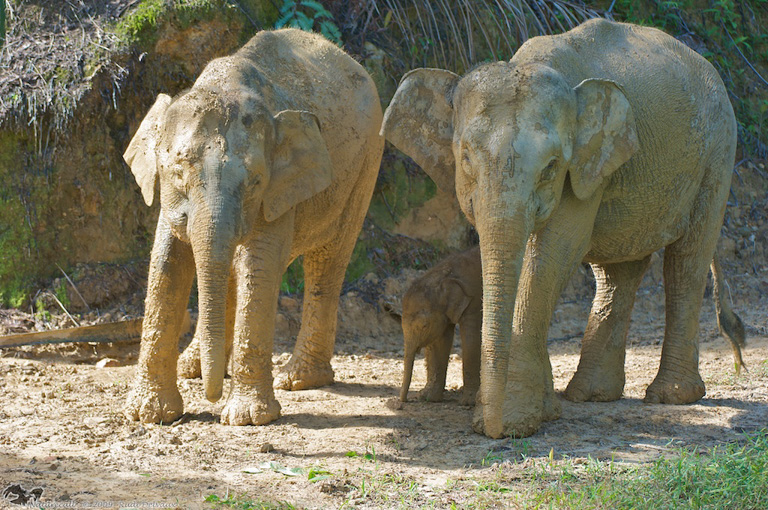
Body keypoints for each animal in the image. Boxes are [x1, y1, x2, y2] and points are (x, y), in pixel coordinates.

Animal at [123, 27, 384, 426]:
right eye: (177, 172)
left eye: (255, 182)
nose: (211, 401)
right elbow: (166, 261)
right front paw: (148, 414)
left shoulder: (278, 189)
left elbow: (258, 264)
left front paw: (246, 418)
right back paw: (192, 369)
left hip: (366, 164)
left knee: (328, 260)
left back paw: (298, 379)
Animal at [402, 246, 480, 406]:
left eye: (424, 326)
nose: (404, 401)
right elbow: (439, 342)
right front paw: (428, 397)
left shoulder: (474, 301)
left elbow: (472, 340)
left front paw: (468, 402)